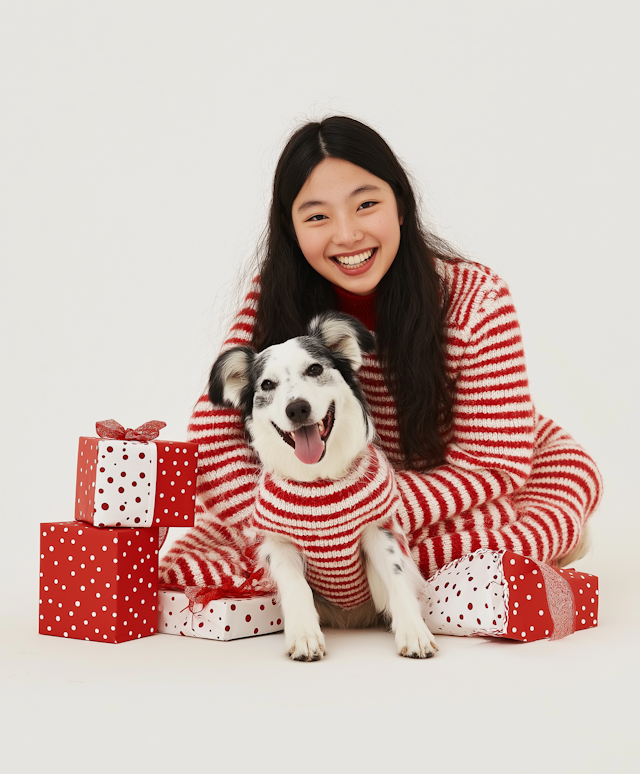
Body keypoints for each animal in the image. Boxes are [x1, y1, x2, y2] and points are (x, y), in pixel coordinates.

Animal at [208, 312, 438, 664]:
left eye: (315, 369)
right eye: (267, 385)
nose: (297, 408)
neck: (318, 480)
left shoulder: (378, 529)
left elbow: (397, 578)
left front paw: (414, 632)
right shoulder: (279, 543)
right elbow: (296, 585)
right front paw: (304, 636)